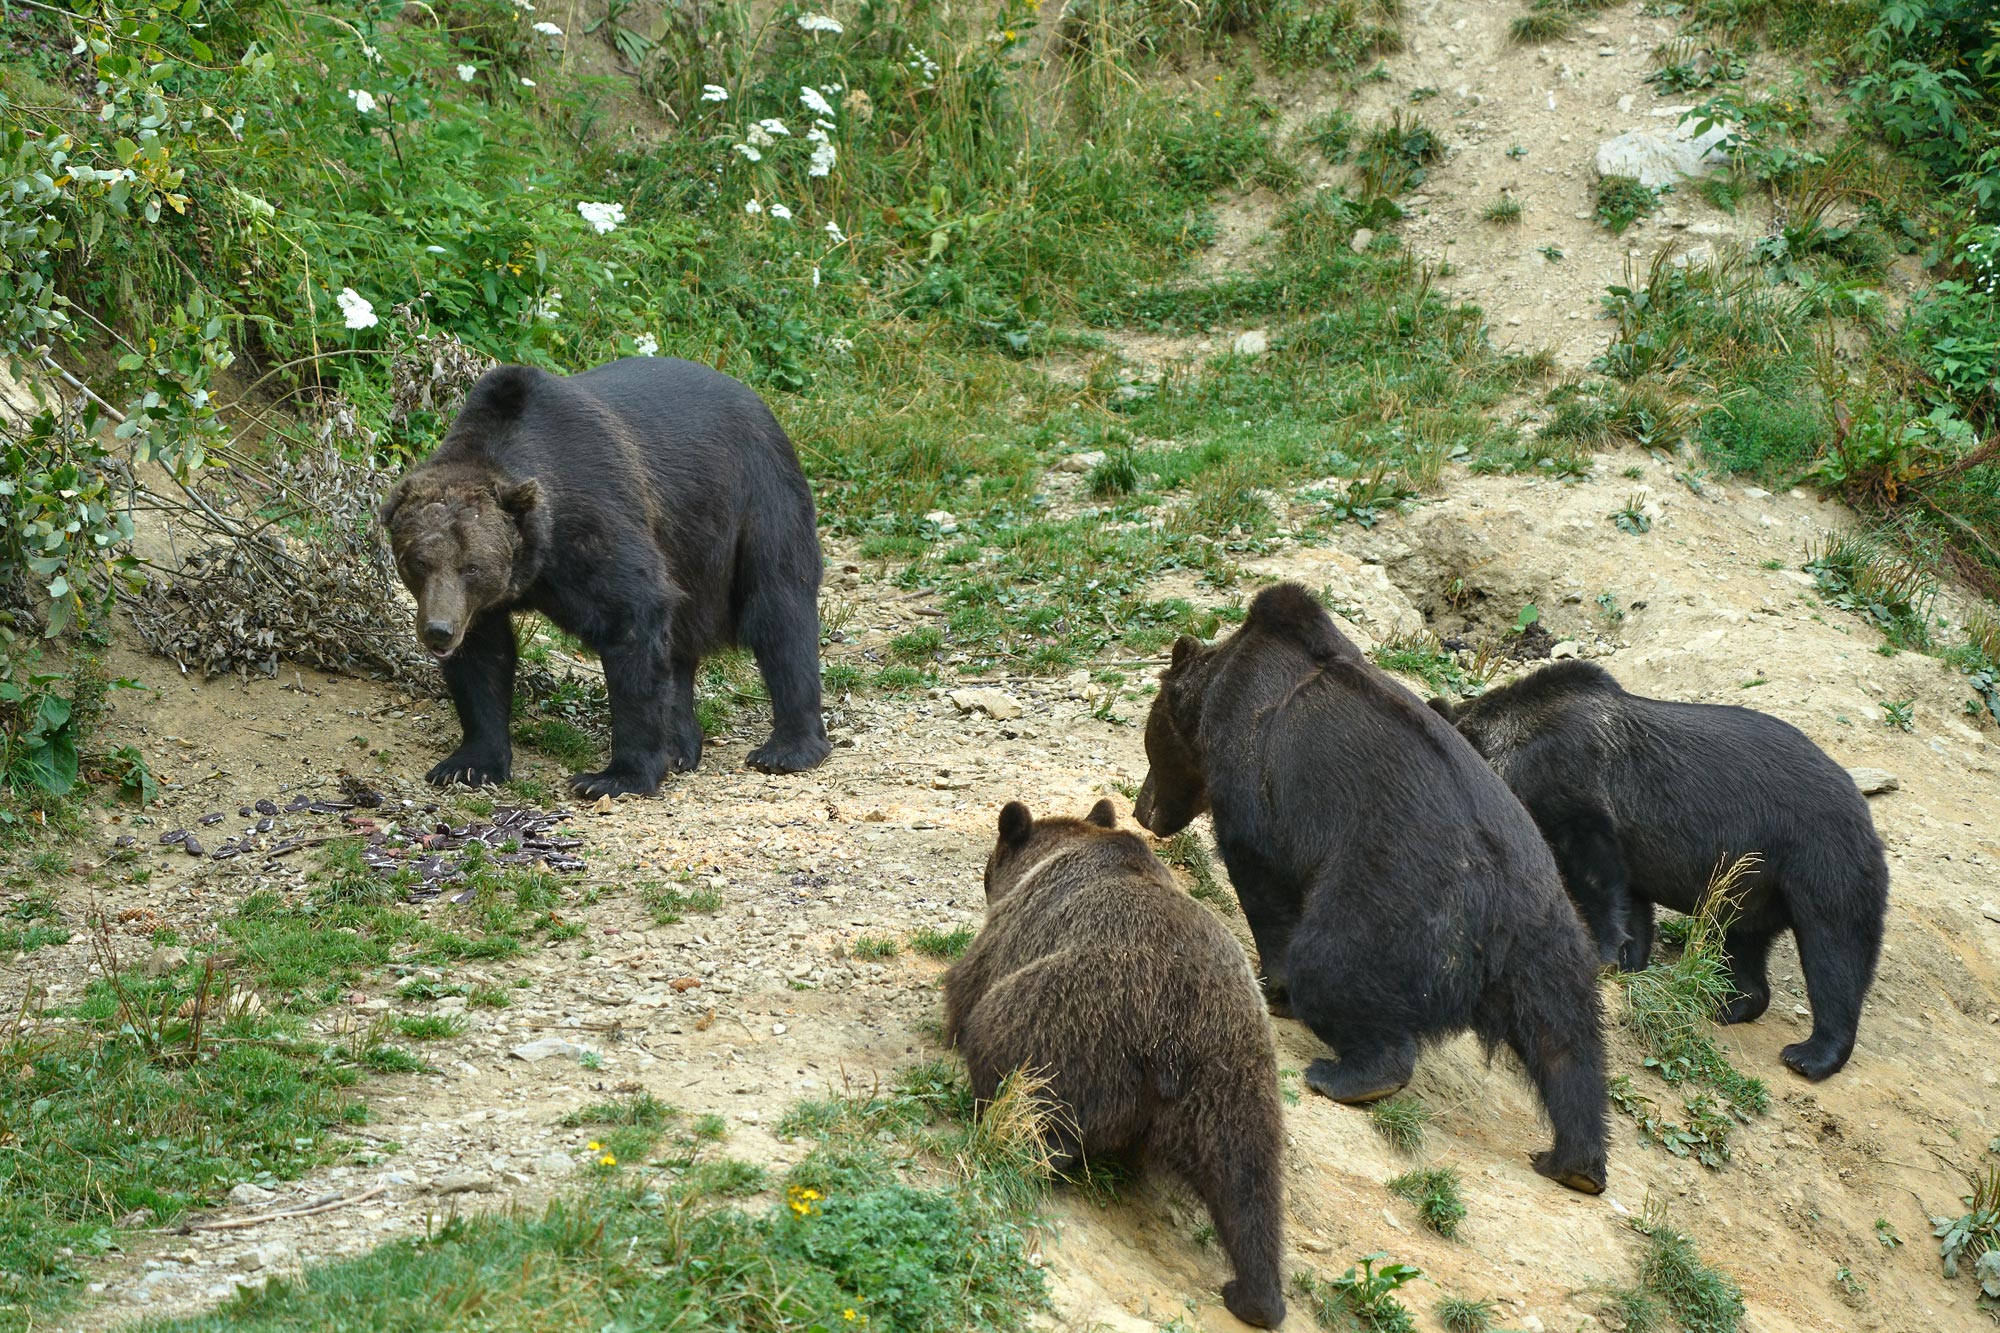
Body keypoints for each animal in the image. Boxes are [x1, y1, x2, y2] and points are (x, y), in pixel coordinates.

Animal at [382, 352, 828, 792]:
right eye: (418, 562)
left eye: (471, 566)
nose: (438, 630)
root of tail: (758, 401)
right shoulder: (481, 605)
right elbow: (483, 661)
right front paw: (468, 764)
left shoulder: (593, 525)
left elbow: (632, 622)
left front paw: (617, 775)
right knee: (684, 643)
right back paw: (681, 746)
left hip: (756, 501)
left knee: (779, 612)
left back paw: (787, 748)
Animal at [944, 792, 1288, 1320]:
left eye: (987, 867)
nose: (983, 878)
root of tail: (1173, 1047)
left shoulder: (1019, 926)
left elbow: (966, 984)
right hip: (1237, 1076)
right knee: (1249, 1181)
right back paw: (1256, 1295)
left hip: (1073, 1017)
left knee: (1006, 1051)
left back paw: (1023, 1141)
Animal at [1136, 580, 1616, 1192]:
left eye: (1153, 748)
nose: (1141, 809)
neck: (1217, 695)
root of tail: (1499, 919)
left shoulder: (1255, 775)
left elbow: (1259, 869)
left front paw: (1274, 986)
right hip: (1556, 939)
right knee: (1569, 1044)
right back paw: (1574, 1163)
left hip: (1388, 907)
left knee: (1334, 966)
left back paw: (1346, 1075)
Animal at [1432, 656, 1880, 1080]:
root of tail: (1864, 810)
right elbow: (1631, 902)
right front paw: (1628, 960)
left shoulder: (1566, 774)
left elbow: (1593, 866)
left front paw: (1603, 954)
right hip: (1752, 884)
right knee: (1743, 942)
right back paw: (1729, 1004)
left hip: (1820, 857)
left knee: (1835, 949)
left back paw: (1810, 1054)